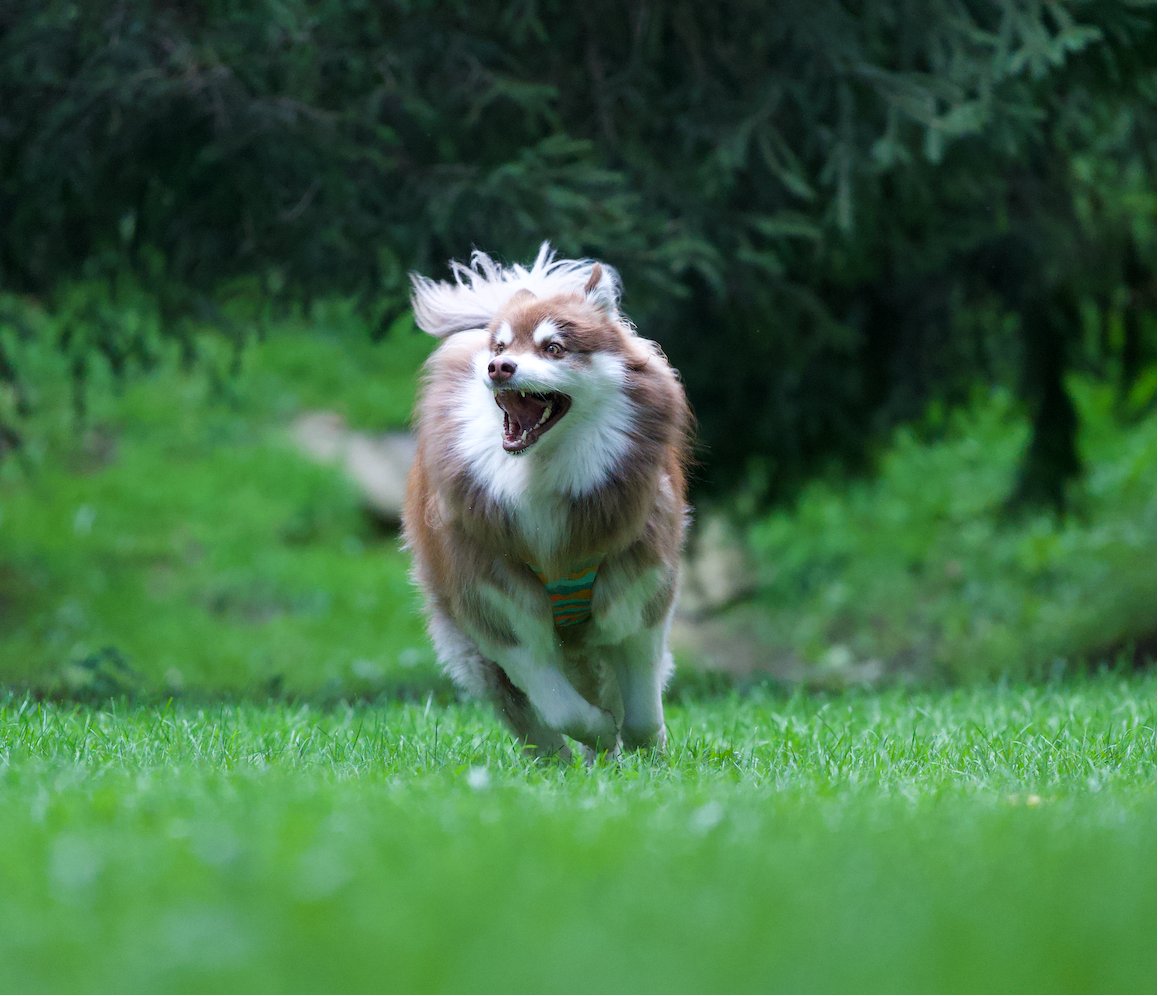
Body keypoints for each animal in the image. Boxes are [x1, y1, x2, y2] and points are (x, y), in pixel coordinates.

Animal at [403, 244, 692, 758]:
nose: (499, 368)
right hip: (472, 651)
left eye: (553, 347)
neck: (542, 474)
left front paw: (647, 750)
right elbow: (562, 708)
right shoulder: (497, 609)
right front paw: (599, 733)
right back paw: (562, 759)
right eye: (499, 348)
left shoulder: (639, 595)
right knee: (531, 720)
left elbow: (641, 707)